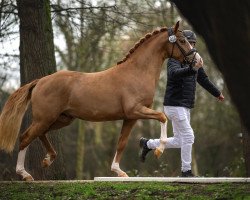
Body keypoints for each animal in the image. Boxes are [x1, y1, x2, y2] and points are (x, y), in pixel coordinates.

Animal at [0, 21, 200, 180]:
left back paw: (48, 159)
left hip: (61, 119)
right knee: (25, 137)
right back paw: (25, 174)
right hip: (45, 118)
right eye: (182, 41)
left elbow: (121, 143)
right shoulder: (135, 110)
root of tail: (40, 81)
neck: (137, 72)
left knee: (40, 134)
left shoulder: (130, 117)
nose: (198, 61)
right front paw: (159, 150)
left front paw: (118, 171)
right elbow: (162, 116)